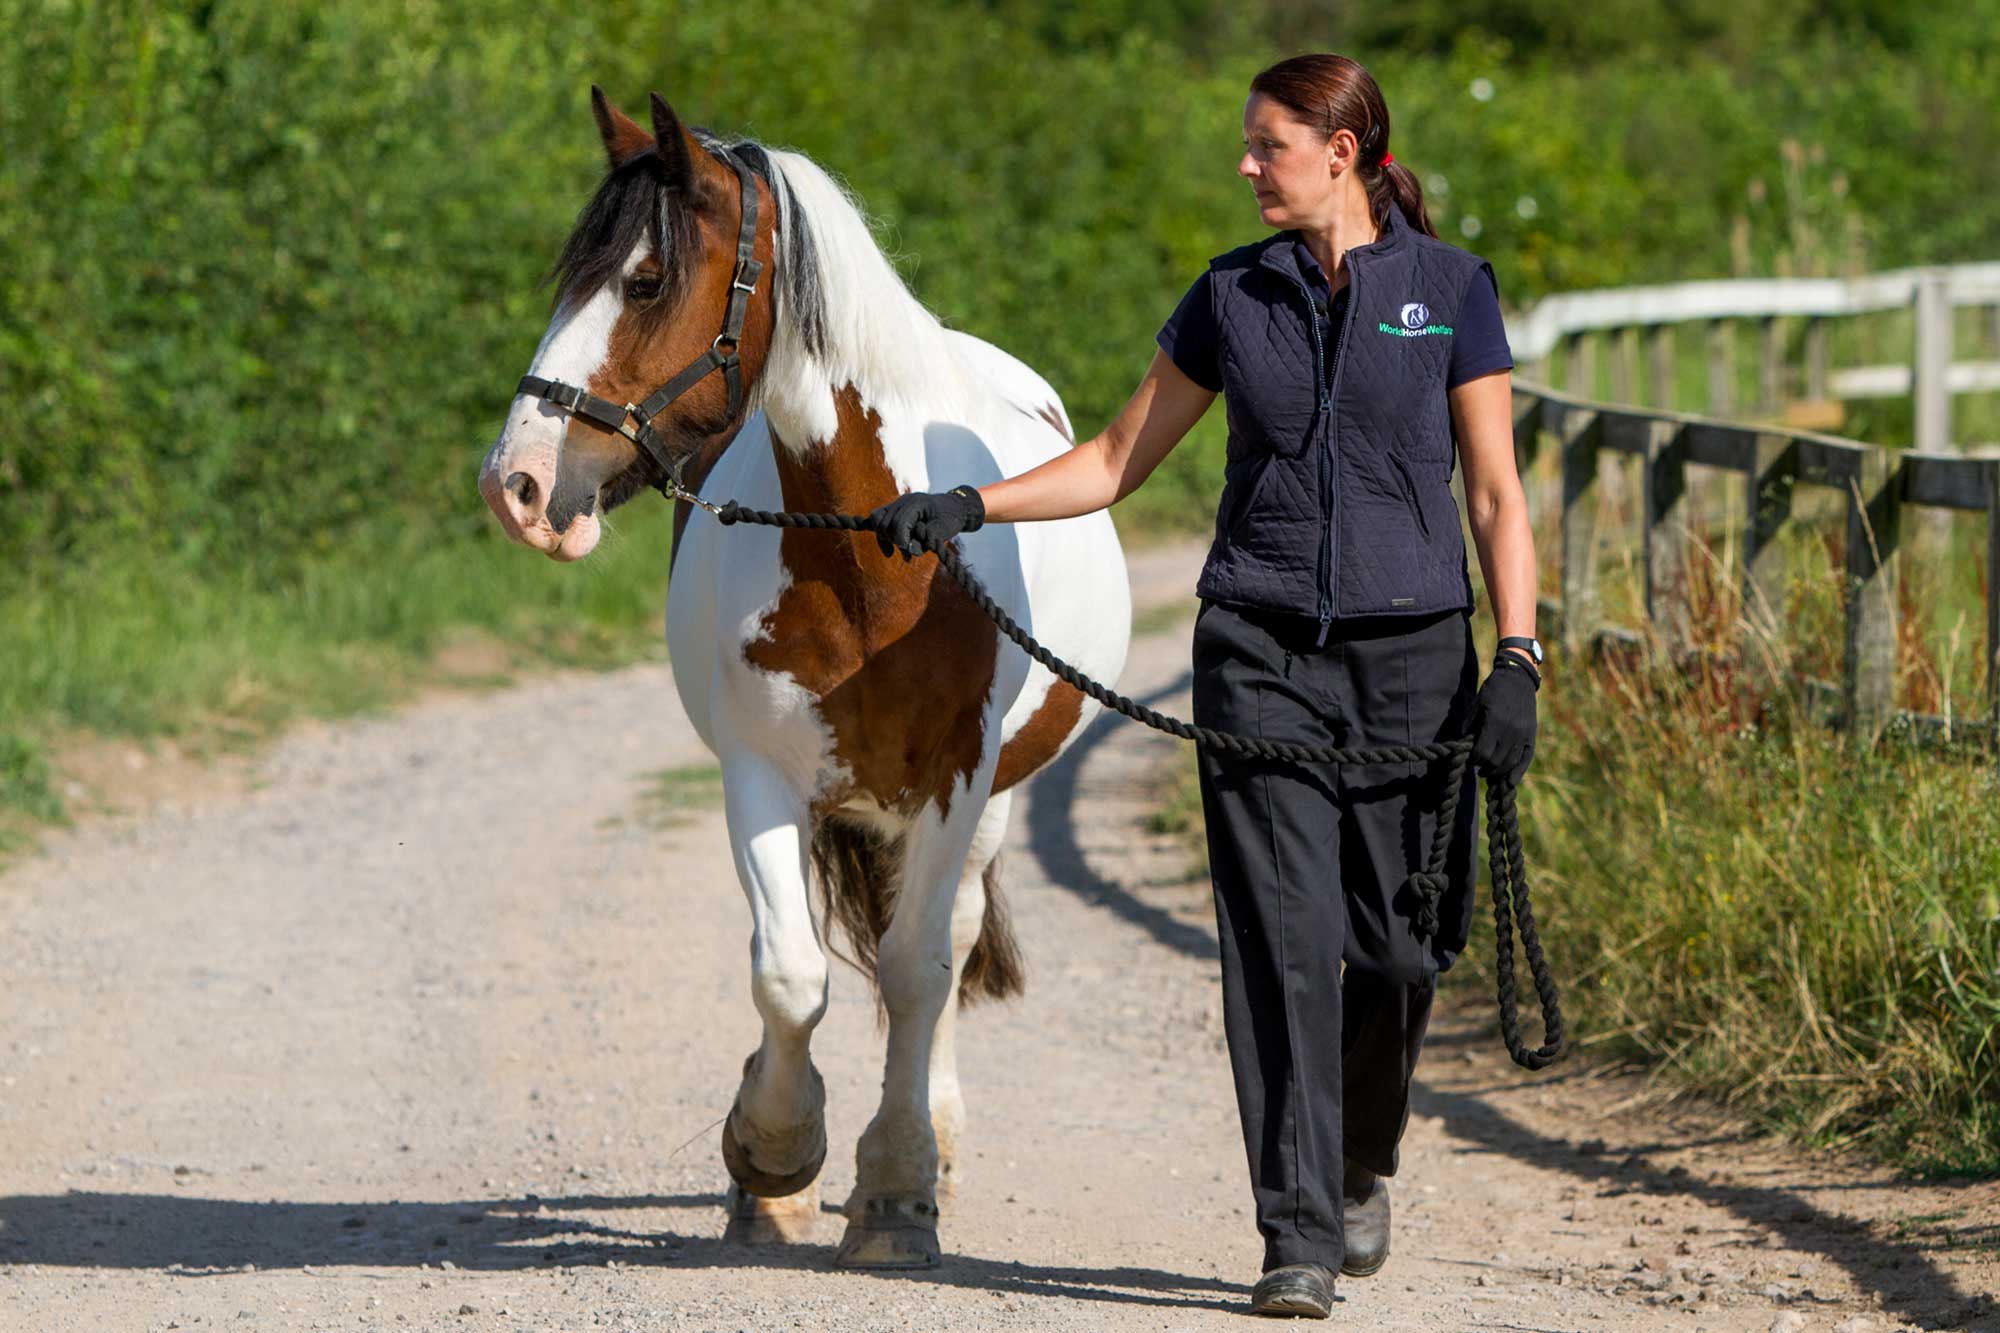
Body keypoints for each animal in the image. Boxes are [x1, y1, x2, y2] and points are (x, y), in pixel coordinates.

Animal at [470, 85, 1128, 1264]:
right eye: (570, 280)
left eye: (644, 280)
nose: (520, 485)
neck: (883, 549)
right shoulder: (759, 776)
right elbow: (787, 972)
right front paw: (773, 1158)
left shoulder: (956, 780)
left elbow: (917, 971)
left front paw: (898, 1188)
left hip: (996, 802)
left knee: (949, 942)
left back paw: (936, 1145)